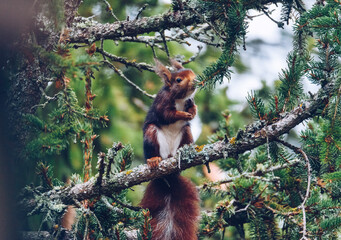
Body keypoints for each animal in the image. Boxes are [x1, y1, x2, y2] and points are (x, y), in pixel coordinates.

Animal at [139, 59, 201, 240]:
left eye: (193, 73)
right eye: (179, 80)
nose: (196, 81)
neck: (180, 99)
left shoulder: (189, 100)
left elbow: (192, 109)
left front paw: (192, 111)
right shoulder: (162, 102)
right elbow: (167, 115)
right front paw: (183, 114)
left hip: (186, 134)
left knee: (186, 132)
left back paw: (182, 152)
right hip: (152, 134)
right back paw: (154, 160)